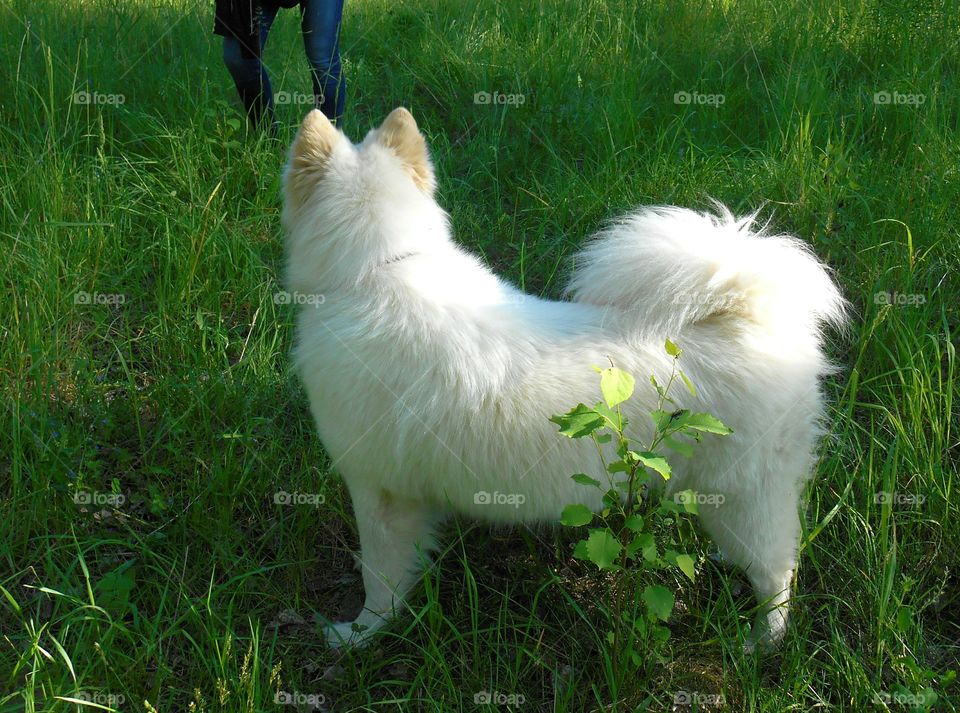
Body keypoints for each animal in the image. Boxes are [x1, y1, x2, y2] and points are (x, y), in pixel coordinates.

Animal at [280, 107, 848, 652]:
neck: (378, 268)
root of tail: (749, 313)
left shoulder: (377, 490)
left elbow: (381, 579)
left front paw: (359, 636)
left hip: (745, 493)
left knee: (778, 572)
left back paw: (762, 642)